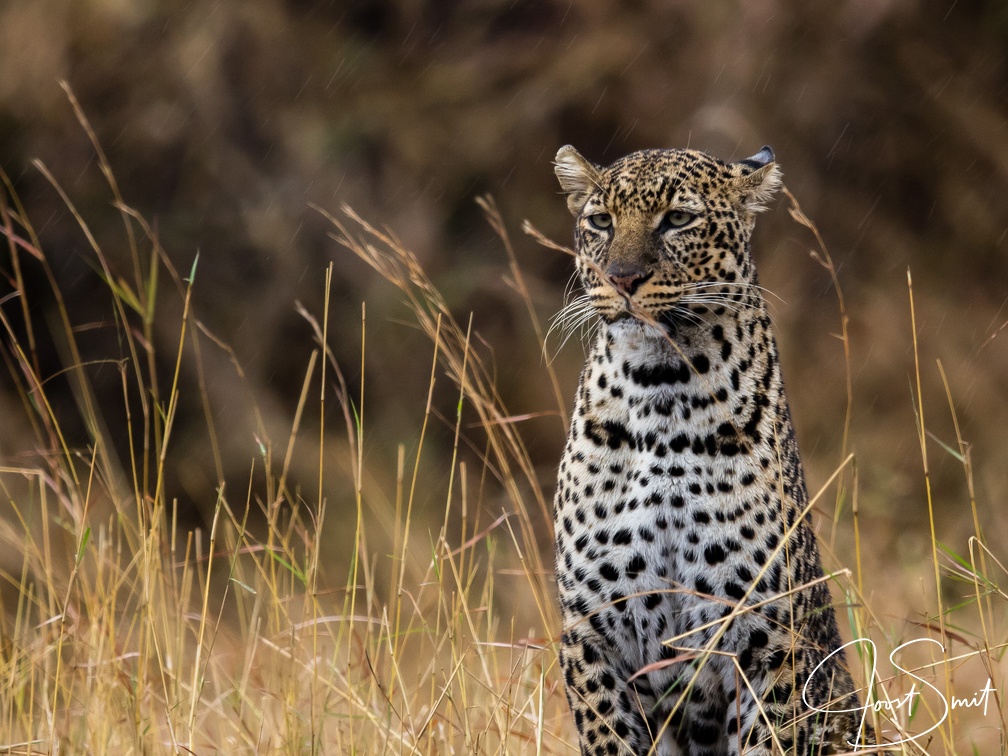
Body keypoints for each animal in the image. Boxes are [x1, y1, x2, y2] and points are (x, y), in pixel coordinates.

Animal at [551, 144, 876, 755]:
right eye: (600, 221)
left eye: (678, 219)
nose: (622, 278)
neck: (660, 389)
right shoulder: (592, 633)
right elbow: (611, 737)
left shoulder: (767, 640)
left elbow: (768, 739)